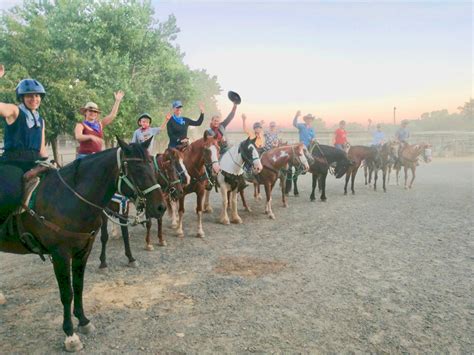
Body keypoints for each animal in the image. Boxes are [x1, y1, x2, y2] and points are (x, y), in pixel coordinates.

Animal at [0, 139, 167, 354]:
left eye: (151, 166)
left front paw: (83, 321)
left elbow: (79, 286)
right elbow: (67, 293)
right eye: (137, 169)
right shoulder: (60, 255)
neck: (68, 198)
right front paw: (70, 335)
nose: (161, 207)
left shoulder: (83, 251)